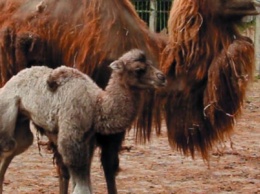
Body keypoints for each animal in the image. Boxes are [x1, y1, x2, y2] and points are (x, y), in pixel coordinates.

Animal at [0, 49, 167, 194]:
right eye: (139, 69)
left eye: (150, 63)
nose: (162, 77)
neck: (96, 106)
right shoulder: (72, 139)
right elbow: (81, 187)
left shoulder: (88, 140)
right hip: (7, 112)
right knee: (6, 146)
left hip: (22, 122)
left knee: (14, 147)